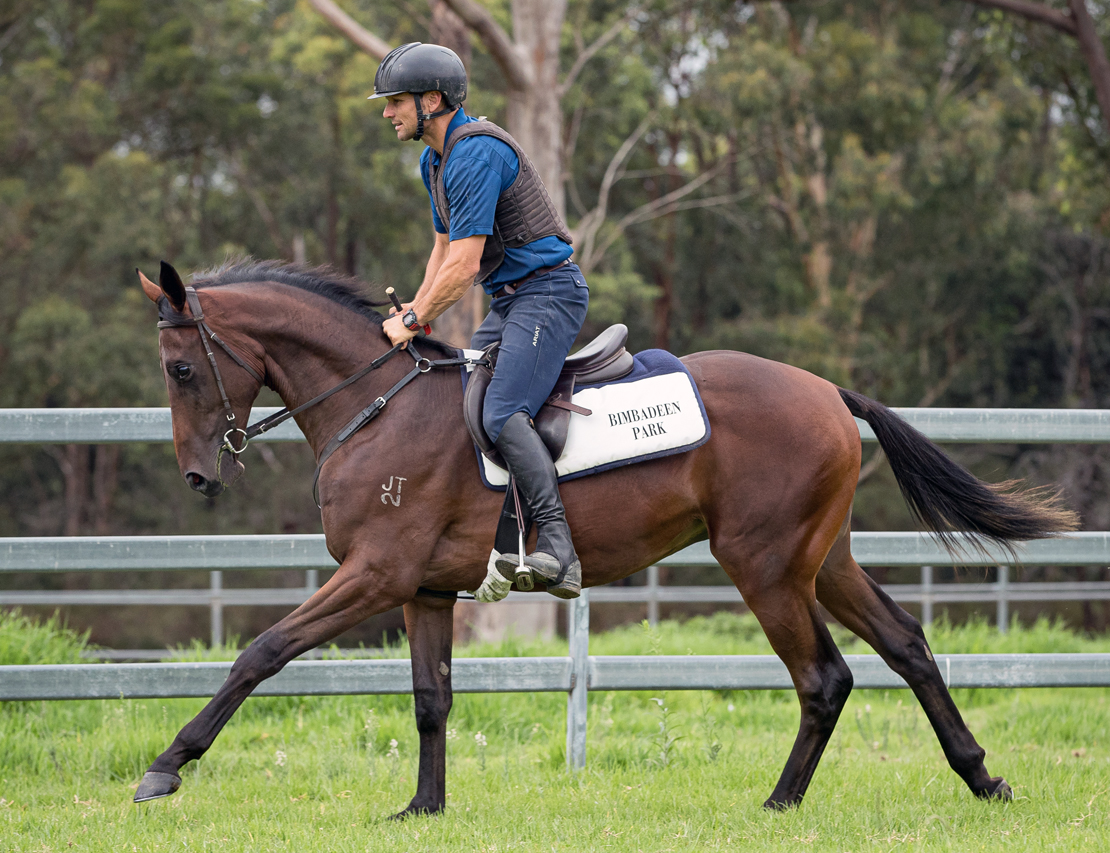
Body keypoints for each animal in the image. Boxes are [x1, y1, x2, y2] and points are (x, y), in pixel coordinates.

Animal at [132, 257, 1074, 813]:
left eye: (181, 368)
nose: (198, 477)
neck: (376, 403)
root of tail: (827, 392)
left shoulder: (374, 574)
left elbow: (261, 653)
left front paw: (168, 764)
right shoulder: (424, 589)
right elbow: (432, 700)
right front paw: (424, 809)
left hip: (766, 566)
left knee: (823, 677)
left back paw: (779, 803)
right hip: (824, 561)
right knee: (908, 646)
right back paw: (981, 776)